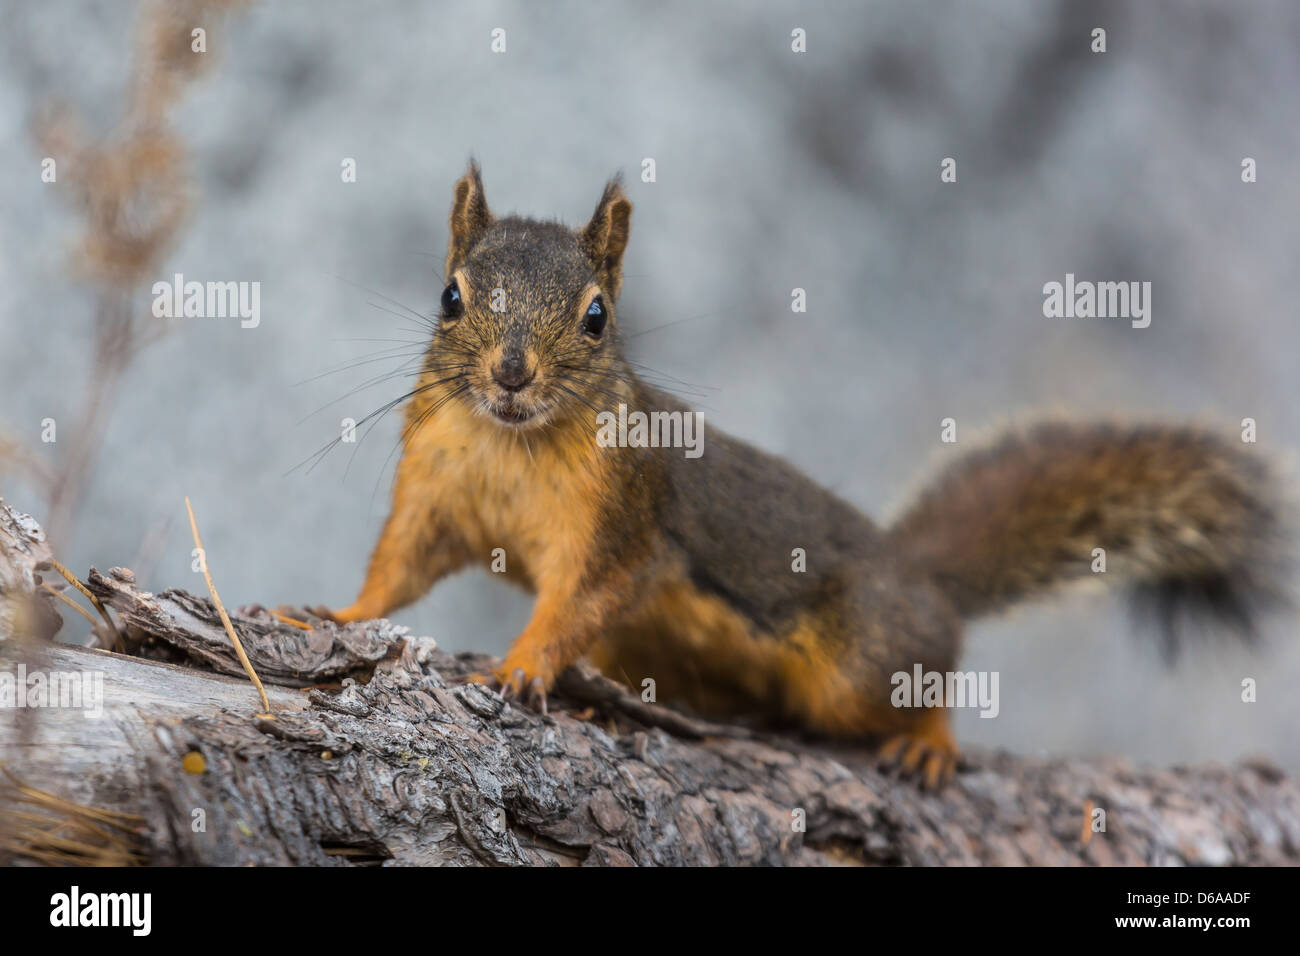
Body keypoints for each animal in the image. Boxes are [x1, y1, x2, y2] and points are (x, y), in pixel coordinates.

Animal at [317, 164, 1289, 790]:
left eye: (596, 317)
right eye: (450, 296)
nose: (512, 373)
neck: (509, 442)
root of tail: (918, 576)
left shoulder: (624, 520)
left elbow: (582, 596)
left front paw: (522, 667)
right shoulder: (435, 492)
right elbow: (399, 567)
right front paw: (334, 615)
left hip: (858, 660)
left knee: (921, 679)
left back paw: (929, 743)